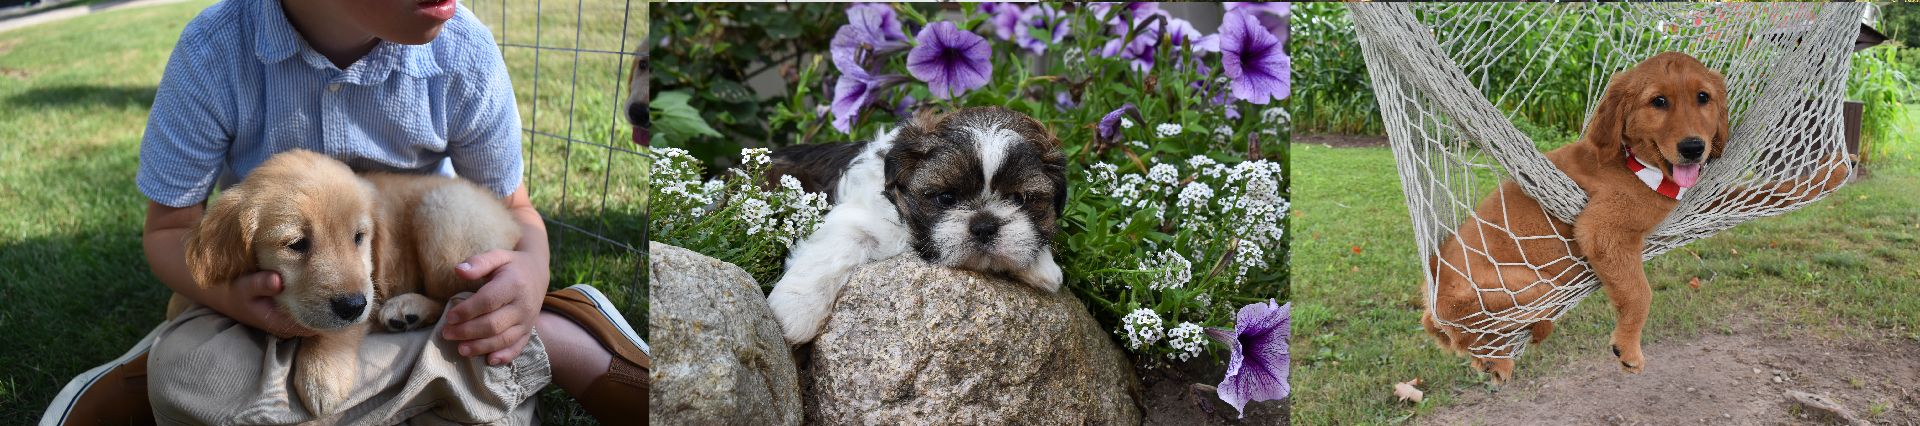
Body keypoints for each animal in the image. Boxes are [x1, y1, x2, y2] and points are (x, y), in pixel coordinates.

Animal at [178, 148, 518, 412]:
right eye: (297, 243)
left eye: (359, 237)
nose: (353, 305)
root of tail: (513, 228)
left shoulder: (369, 285)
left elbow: (337, 329)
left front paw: (322, 375)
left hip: (443, 209)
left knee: (457, 298)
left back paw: (409, 308)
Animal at [760, 106, 1067, 343]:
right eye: (946, 197)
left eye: (1019, 199)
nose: (984, 225)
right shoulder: (853, 215)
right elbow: (836, 246)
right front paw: (795, 309)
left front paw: (1042, 267)